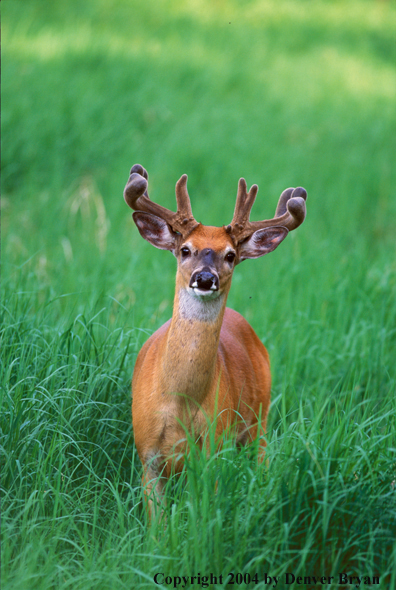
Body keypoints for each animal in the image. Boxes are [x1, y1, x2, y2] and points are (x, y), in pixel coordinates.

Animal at [123, 164, 306, 516]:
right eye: (185, 249)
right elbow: (157, 522)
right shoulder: (147, 453)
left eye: (231, 255)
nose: (205, 278)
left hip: (259, 420)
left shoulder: (213, 447)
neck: (180, 398)